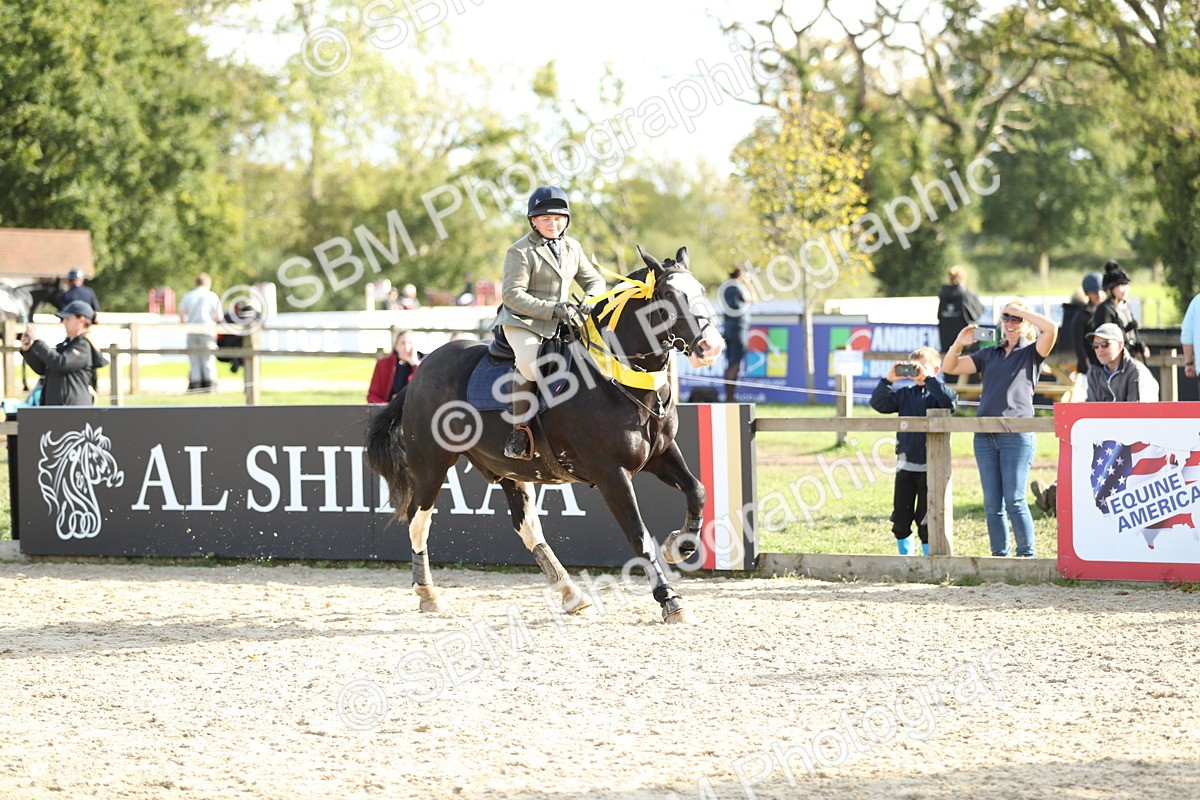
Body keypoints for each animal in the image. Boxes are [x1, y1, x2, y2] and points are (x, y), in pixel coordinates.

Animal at [366, 245, 725, 623]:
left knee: (526, 527)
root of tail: (421, 368)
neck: (618, 378)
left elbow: (697, 491)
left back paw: (571, 594)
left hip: (509, 471)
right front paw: (669, 598)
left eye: (701, 290)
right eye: (669, 295)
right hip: (431, 465)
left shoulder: (661, 454)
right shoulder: (611, 473)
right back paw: (428, 593)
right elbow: (639, 535)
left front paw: (681, 545)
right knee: (418, 522)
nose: (711, 347)